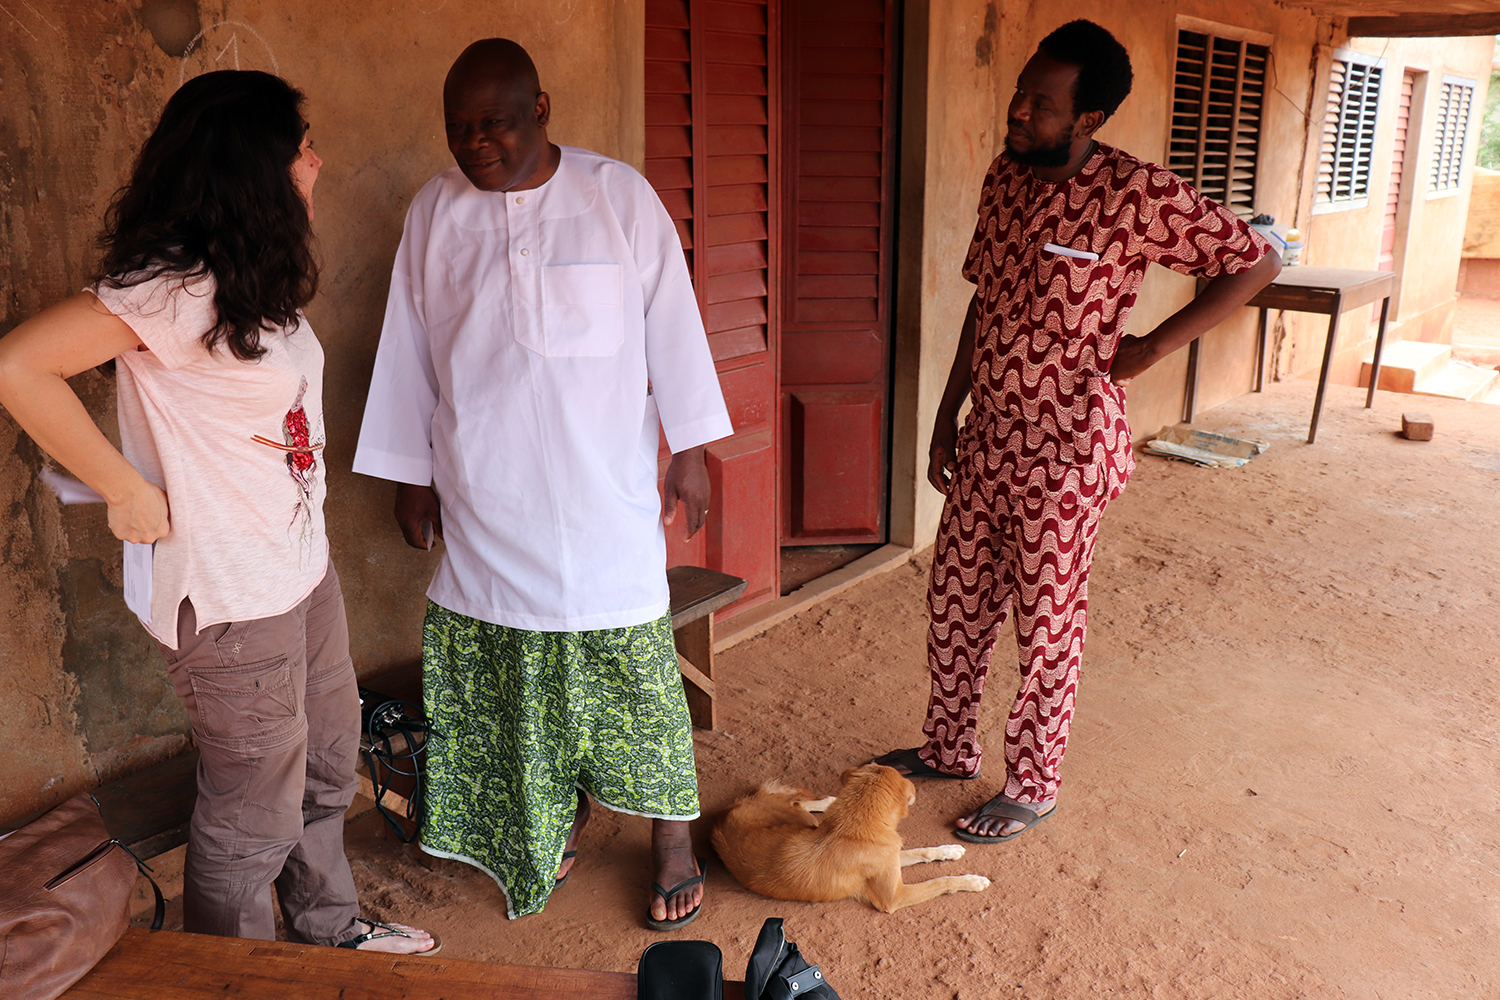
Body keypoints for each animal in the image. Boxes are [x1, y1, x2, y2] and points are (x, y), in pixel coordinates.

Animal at [714, 761, 996, 911]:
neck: (853, 828)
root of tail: (726, 813)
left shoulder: (891, 857)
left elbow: (922, 851)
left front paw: (949, 849)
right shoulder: (894, 897)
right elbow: (941, 881)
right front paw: (973, 881)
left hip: (802, 820)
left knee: (800, 802)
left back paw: (827, 801)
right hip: (800, 820)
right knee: (797, 803)